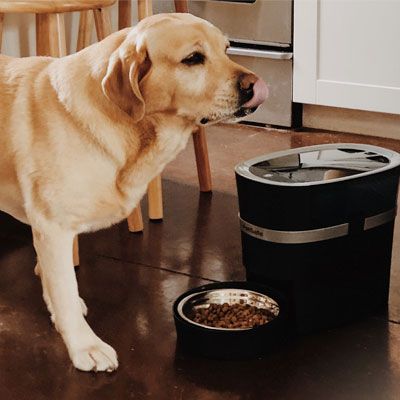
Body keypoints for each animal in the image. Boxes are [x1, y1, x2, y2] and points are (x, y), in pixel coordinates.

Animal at [0, 13, 268, 372]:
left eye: (227, 49)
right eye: (193, 58)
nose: (255, 85)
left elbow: (54, 284)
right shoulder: (53, 227)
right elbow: (64, 287)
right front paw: (84, 345)